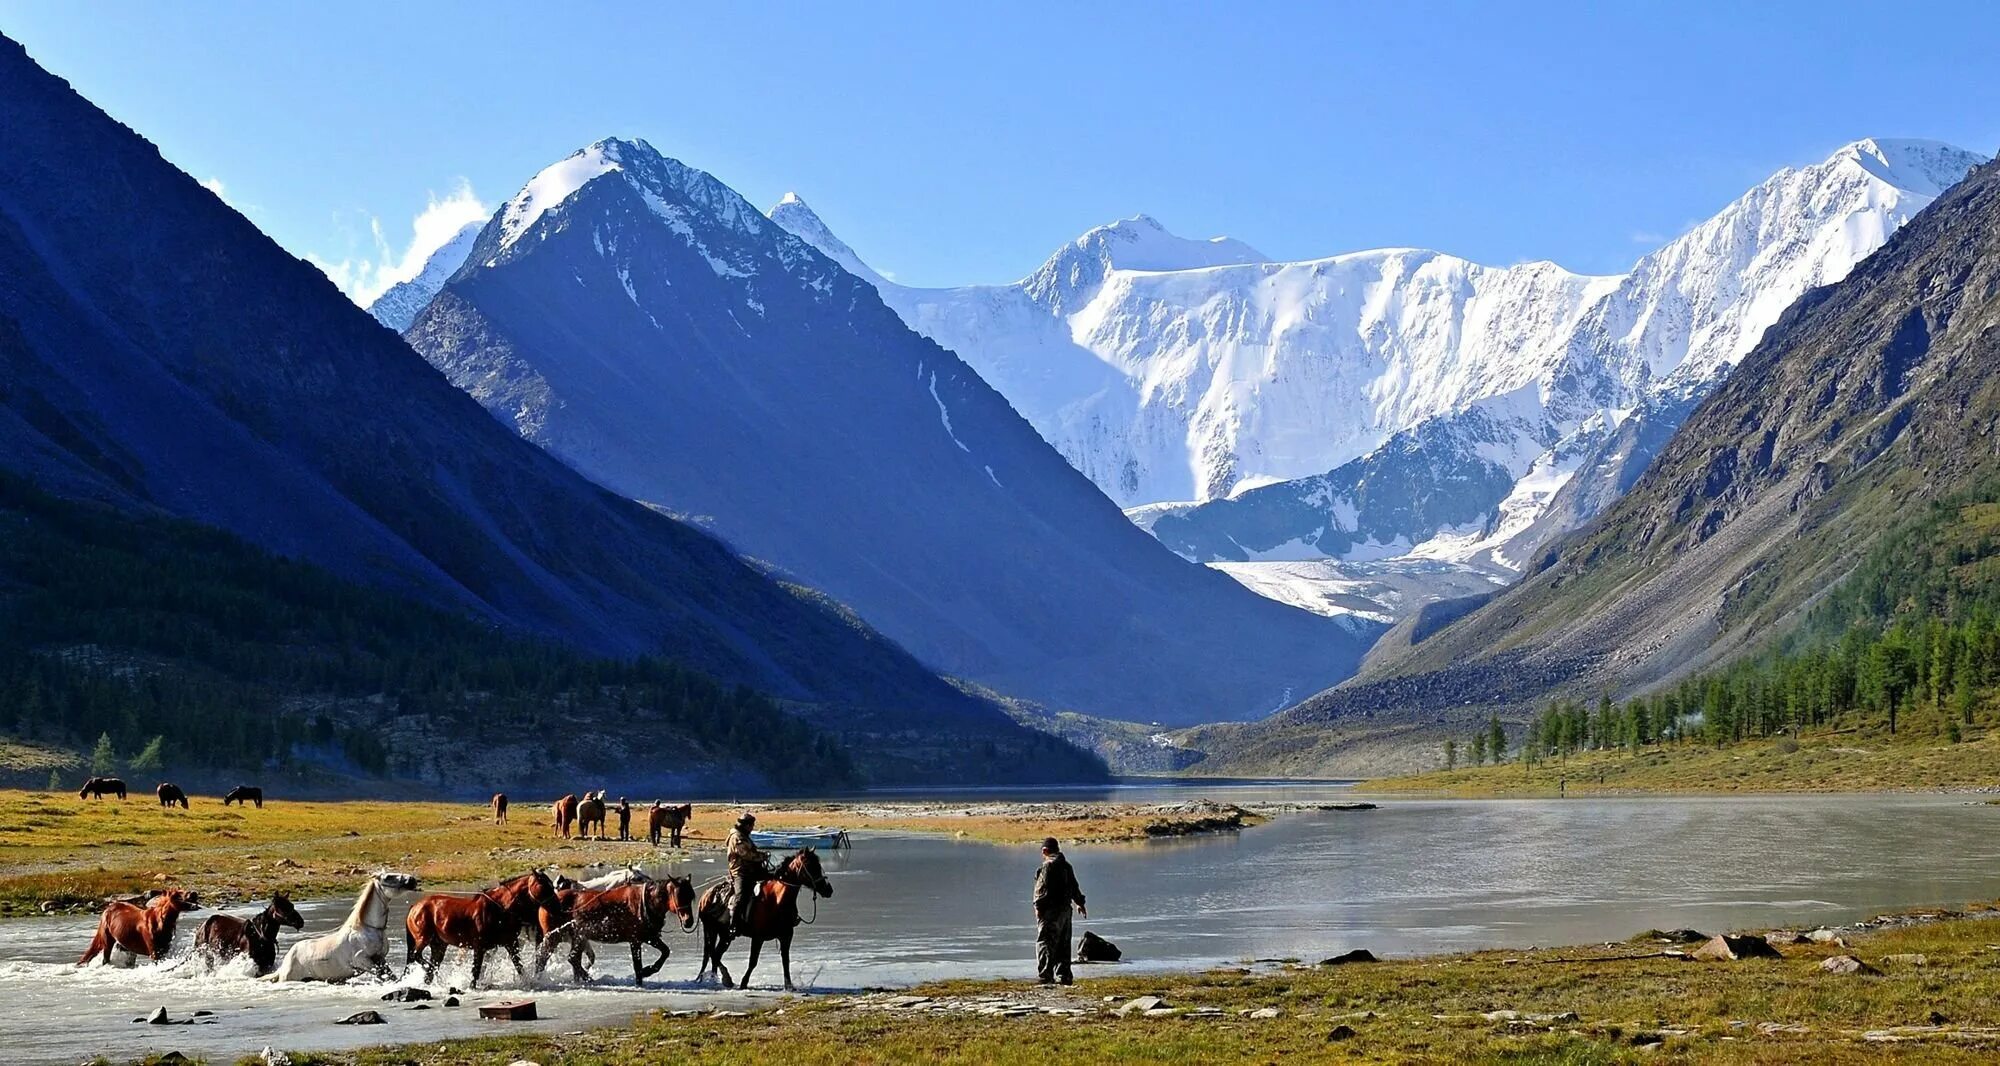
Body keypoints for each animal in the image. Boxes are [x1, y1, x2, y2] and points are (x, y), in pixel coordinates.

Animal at [268, 872, 416, 980]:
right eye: (388, 877)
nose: (412, 880)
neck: (367, 929)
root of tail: (285, 964)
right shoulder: (362, 961)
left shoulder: (380, 959)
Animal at [402, 868, 564, 984]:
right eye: (545, 886)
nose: (558, 907)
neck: (500, 909)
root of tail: (415, 907)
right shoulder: (479, 947)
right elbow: (476, 971)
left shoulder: (510, 944)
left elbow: (519, 966)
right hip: (423, 938)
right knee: (417, 956)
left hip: (439, 945)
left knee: (431, 965)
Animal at [540, 872, 696, 980]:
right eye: (679, 895)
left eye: (690, 896)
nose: (689, 921)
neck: (644, 903)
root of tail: (548, 900)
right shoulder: (635, 941)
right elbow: (637, 967)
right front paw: (644, 973)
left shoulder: (649, 937)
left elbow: (665, 952)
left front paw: (650, 970)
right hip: (556, 937)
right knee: (549, 958)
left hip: (577, 937)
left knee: (573, 960)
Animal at [700, 848, 832, 988]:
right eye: (810, 866)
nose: (828, 889)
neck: (777, 900)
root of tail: (705, 895)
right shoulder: (758, 938)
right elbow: (753, 961)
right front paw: (743, 983)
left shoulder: (786, 937)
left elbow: (786, 961)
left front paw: (789, 985)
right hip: (712, 930)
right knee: (712, 954)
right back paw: (725, 978)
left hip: (725, 935)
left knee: (715, 954)